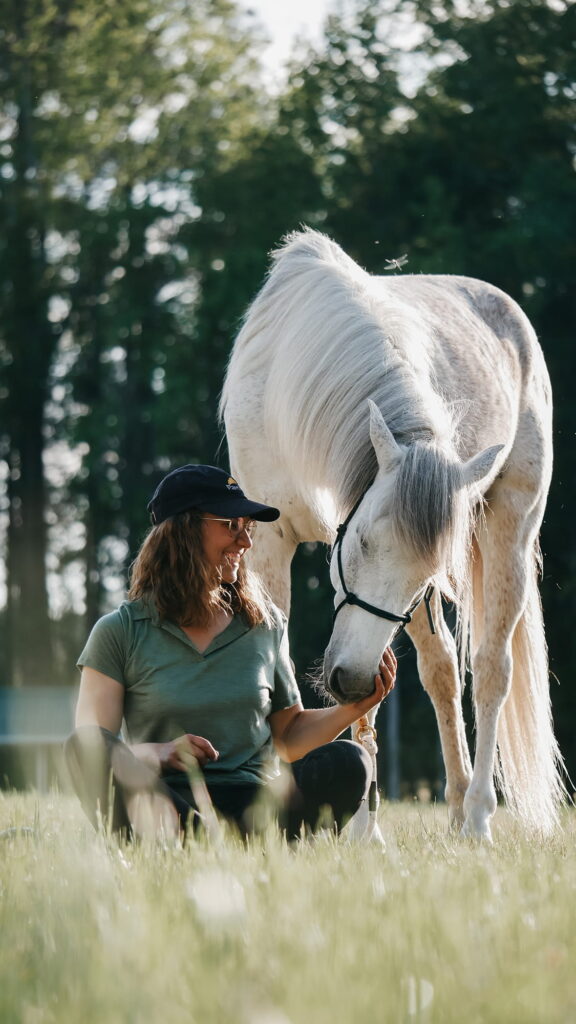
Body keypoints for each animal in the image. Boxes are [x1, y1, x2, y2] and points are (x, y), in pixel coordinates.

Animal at [220, 228, 565, 841]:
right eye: (359, 543)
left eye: (428, 572)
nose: (351, 679)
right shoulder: (270, 543)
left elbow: (374, 700)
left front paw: (362, 828)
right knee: (443, 669)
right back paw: (455, 807)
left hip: (511, 529)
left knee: (490, 670)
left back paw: (477, 816)